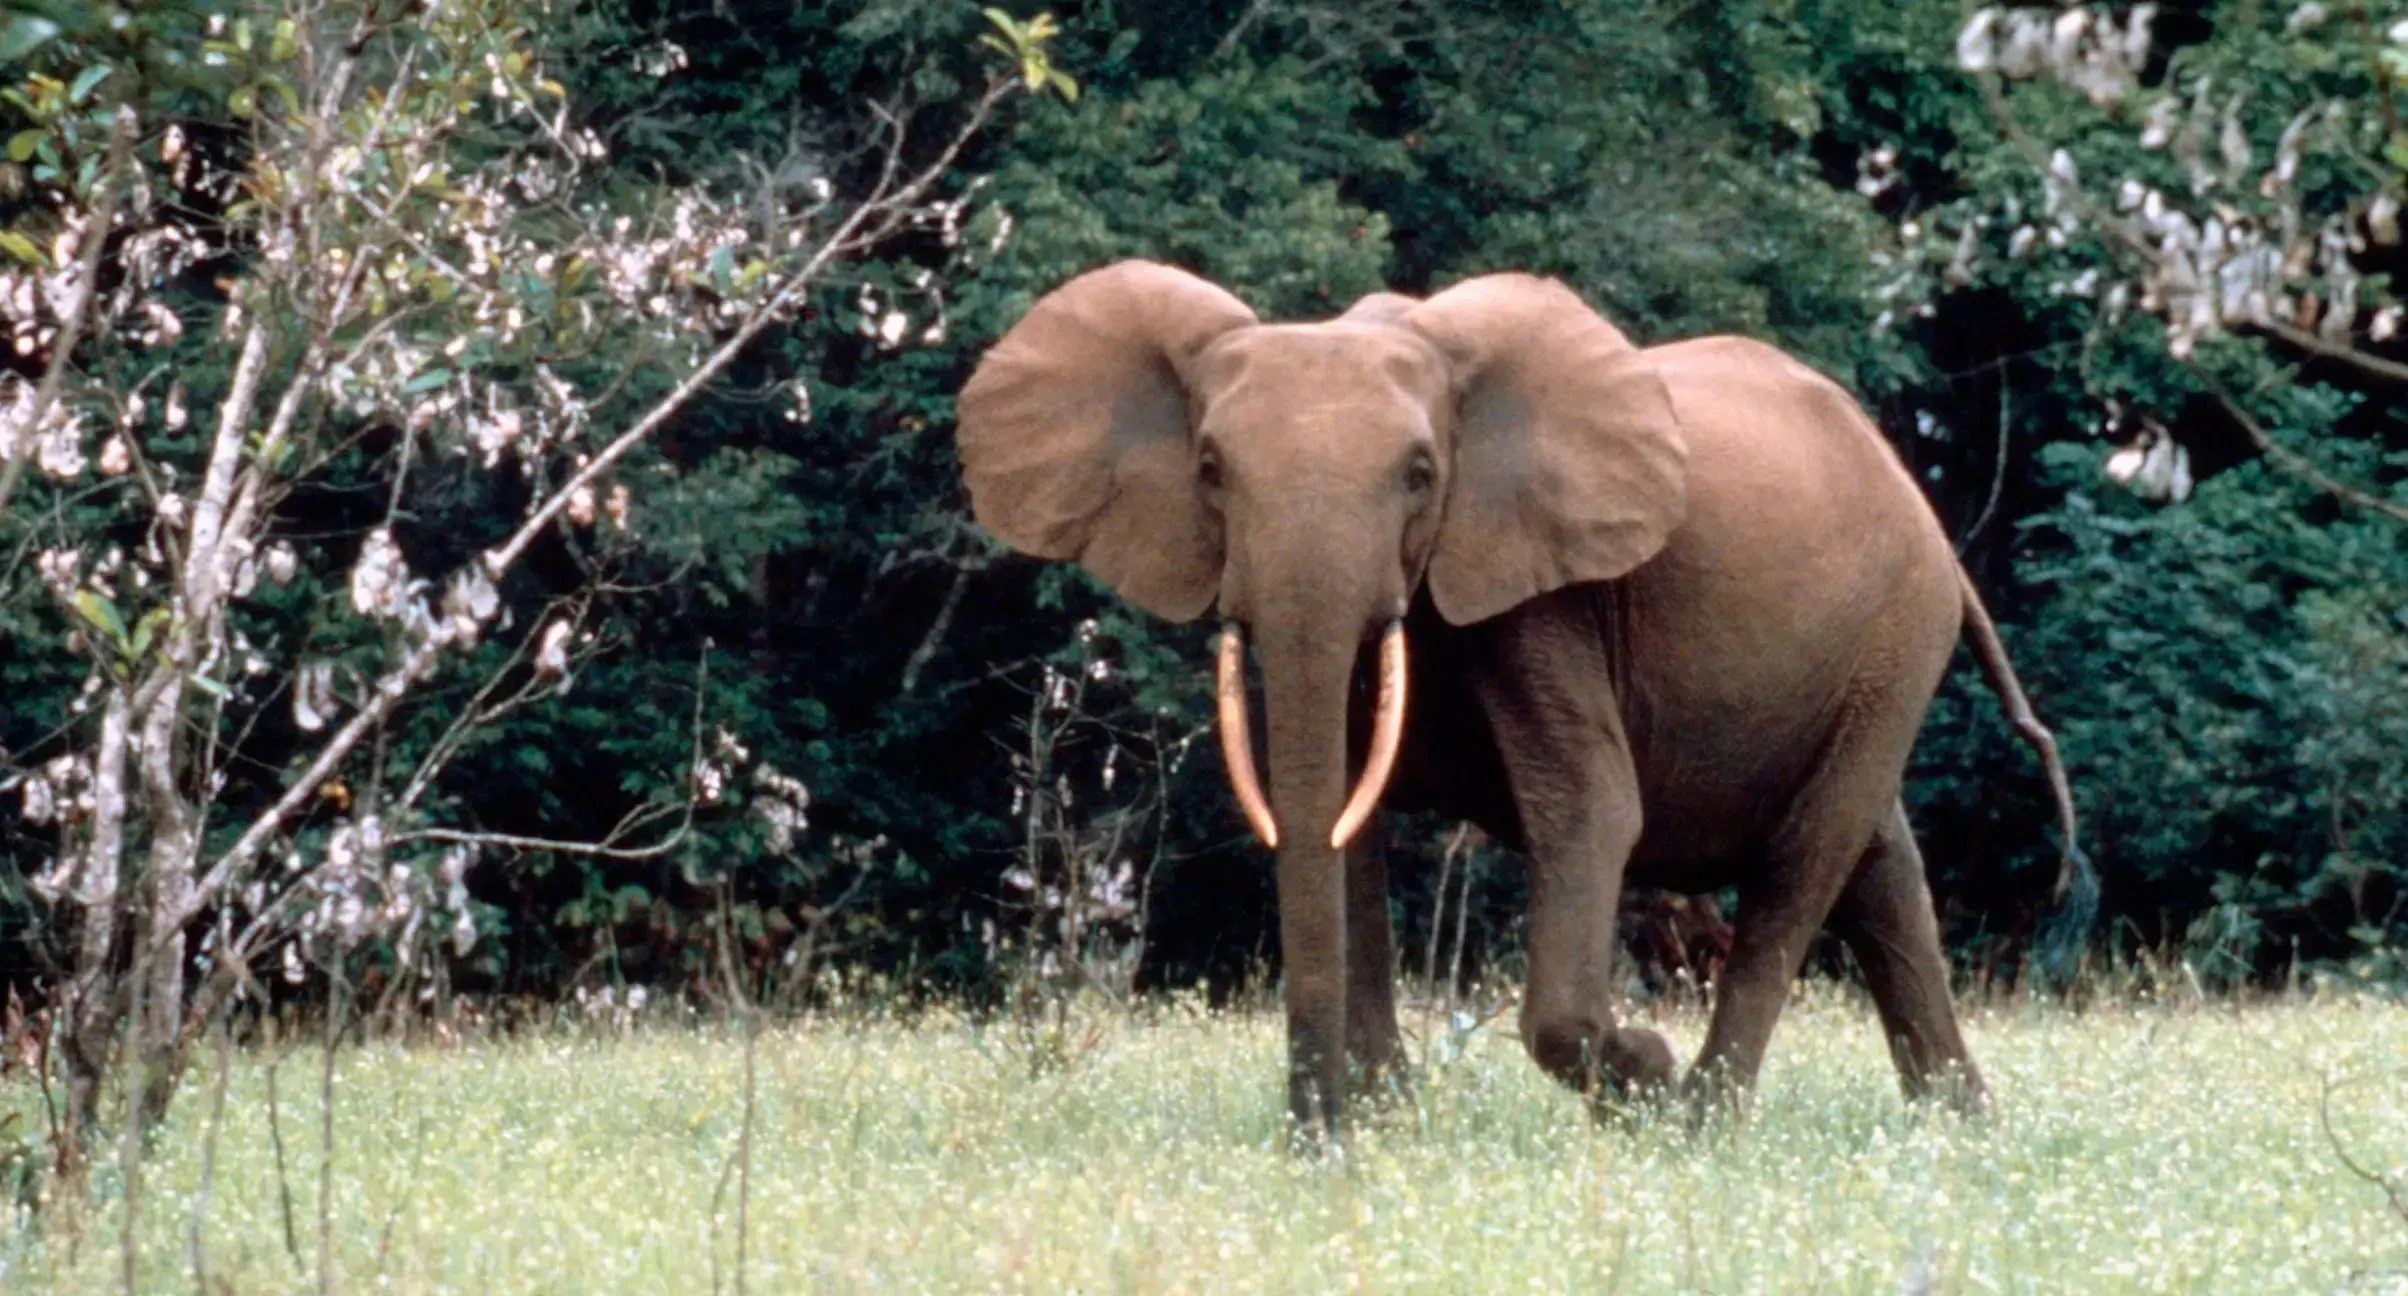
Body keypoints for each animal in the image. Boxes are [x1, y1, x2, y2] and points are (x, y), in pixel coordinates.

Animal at [952, 260, 2080, 1138]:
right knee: (1881, 869)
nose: (1311, 1139)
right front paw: (1384, 1121)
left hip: (1897, 631)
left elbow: (1590, 809)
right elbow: (1337, 812)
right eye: (1210, 469)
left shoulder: (1545, 596)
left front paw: (1637, 1070)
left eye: (1420, 473)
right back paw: (1961, 1130)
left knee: (1806, 861)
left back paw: (1701, 1125)